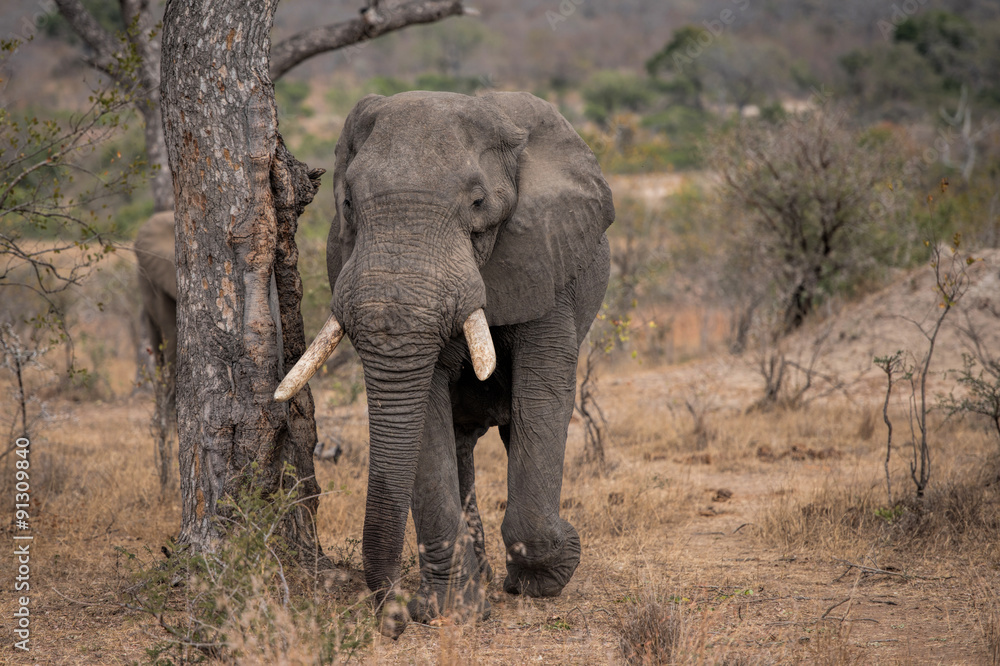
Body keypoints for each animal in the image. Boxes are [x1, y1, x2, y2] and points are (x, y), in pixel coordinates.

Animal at [275, 90, 615, 636]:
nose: (392, 615)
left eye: (478, 204)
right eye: (347, 204)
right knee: (459, 441)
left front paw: (546, 575)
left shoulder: (546, 259)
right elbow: (426, 413)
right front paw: (453, 611)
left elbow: (542, 393)